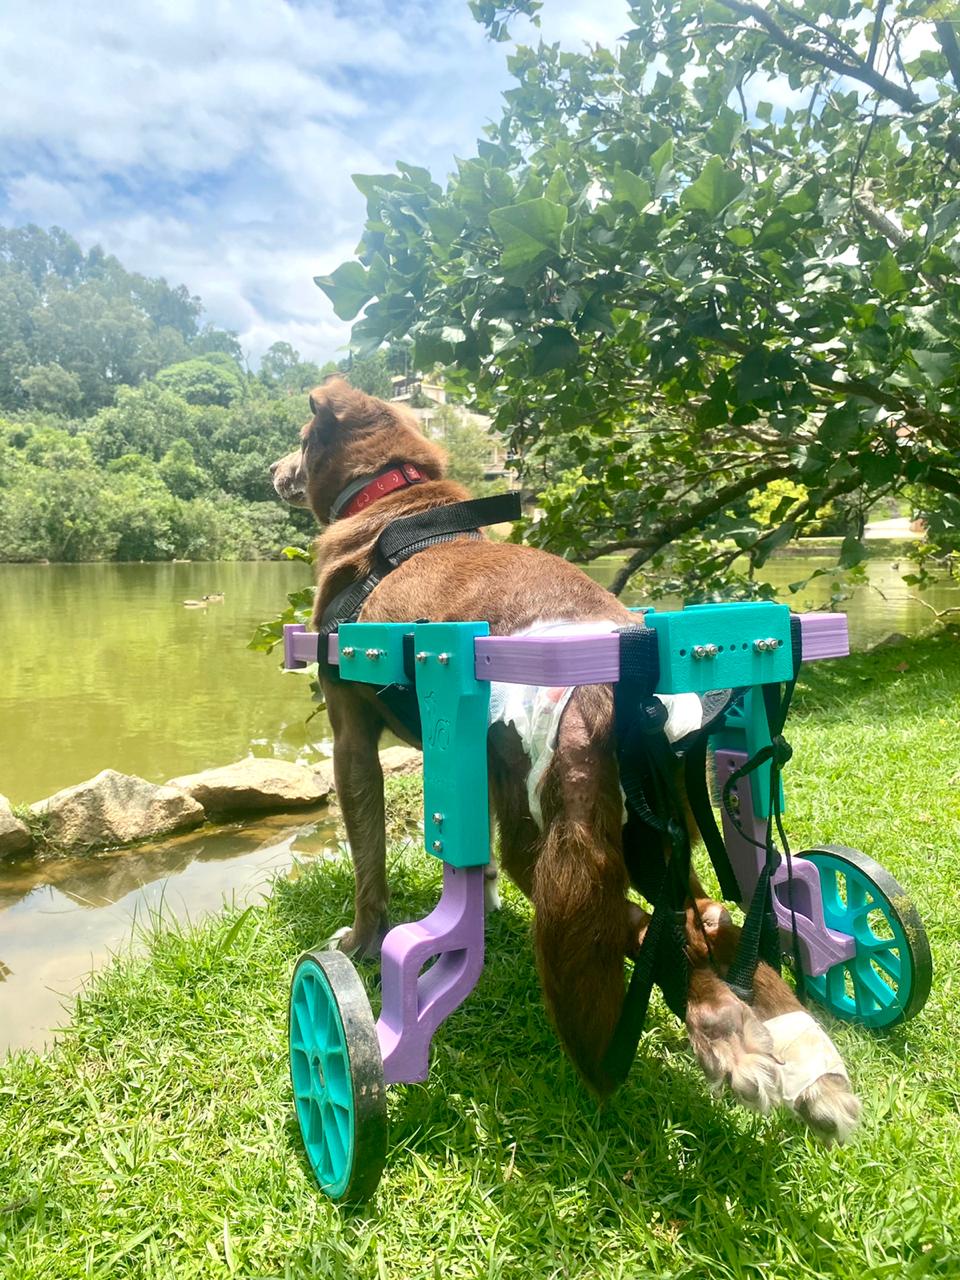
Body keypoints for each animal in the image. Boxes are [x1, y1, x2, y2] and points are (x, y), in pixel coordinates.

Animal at [272, 378, 865, 1141]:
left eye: (298, 438)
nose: (273, 471)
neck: (393, 499)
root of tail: (610, 686)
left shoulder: (350, 738)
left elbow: (368, 860)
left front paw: (361, 943)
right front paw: (478, 902)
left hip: (550, 842)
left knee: (645, 928)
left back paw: (728, 1038)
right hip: (649, 823)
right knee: (709, 916)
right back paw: (799, 1054)